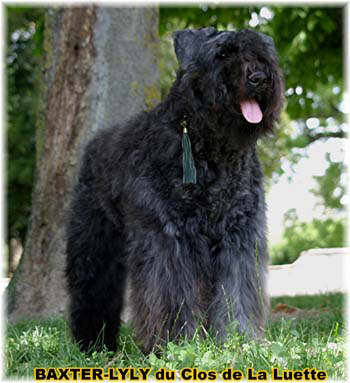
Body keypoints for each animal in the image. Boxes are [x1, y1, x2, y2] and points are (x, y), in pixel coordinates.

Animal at [66, 27, 284, 354]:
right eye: (222, 53)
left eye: (262, 52)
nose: (259, 77)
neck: (212, 148)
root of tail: (94, 145)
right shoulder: (169, 239)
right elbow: (174, 294)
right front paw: (177, 343)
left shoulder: (238, 238)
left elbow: (237, 292)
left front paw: (239, 339)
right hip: (94, 240)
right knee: (92, 288)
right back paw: (93, 342)